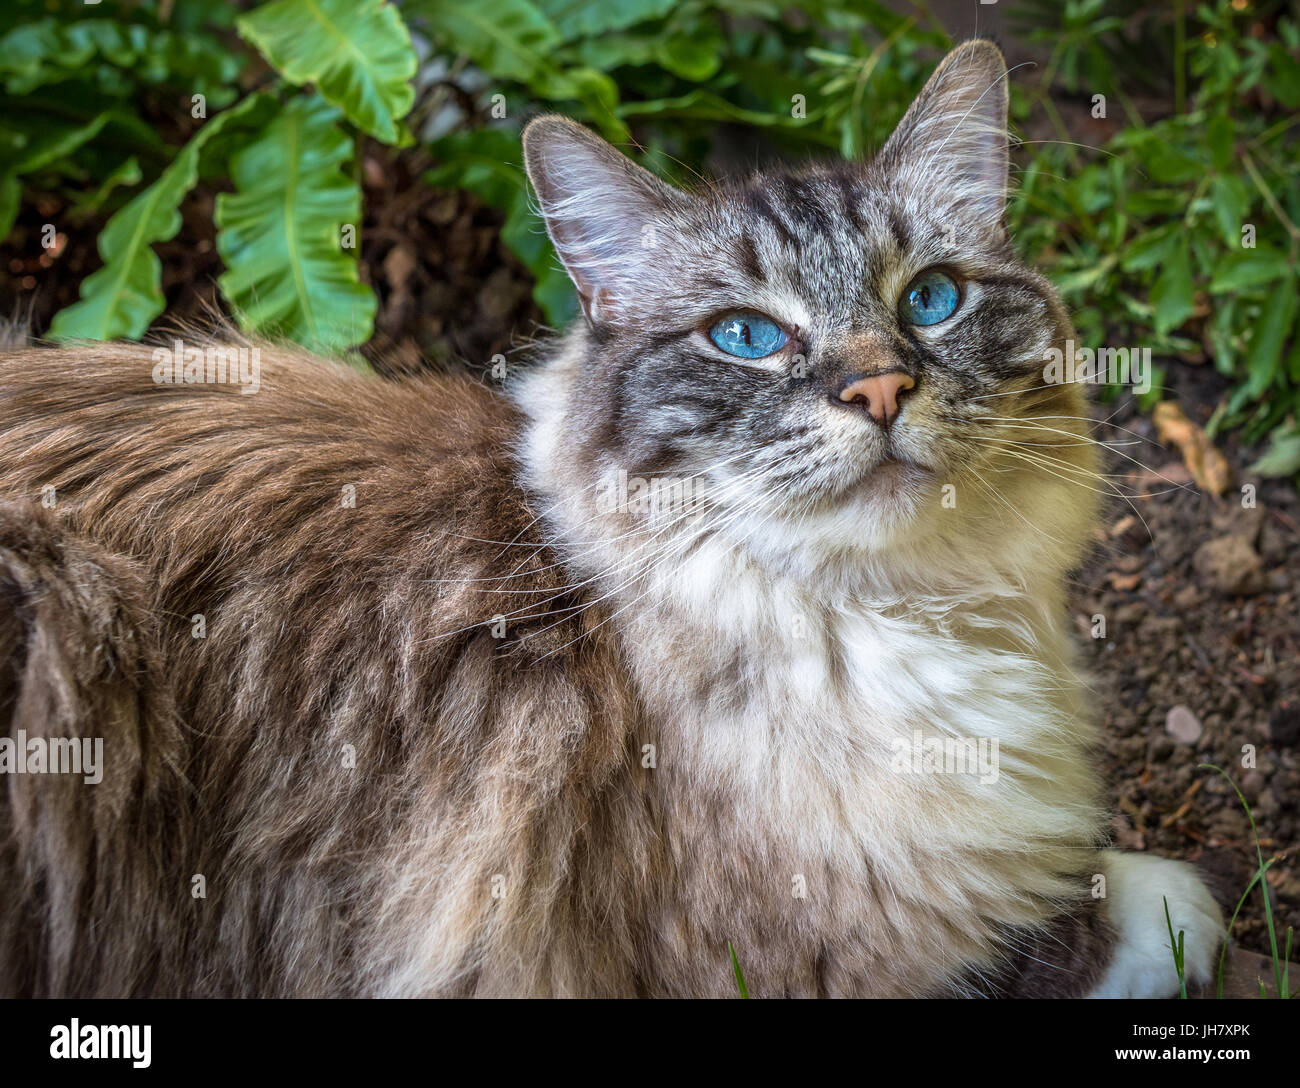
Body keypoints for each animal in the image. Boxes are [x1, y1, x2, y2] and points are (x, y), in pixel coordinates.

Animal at [0, 40, 1216, 993]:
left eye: (931, 299)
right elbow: (1080, 916)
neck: (887, 615)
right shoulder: (815, 945)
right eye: (746, 337)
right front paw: (1163, 910)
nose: (879, 391)